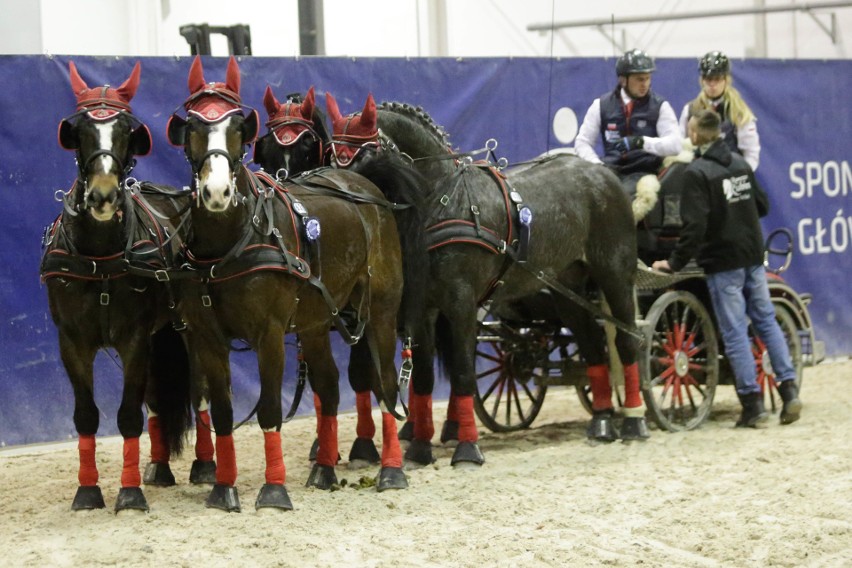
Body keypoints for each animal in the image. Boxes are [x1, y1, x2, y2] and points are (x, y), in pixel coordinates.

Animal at [40, 61, 192, 510]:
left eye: (126, 131)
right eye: (81, 131)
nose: (103, 196)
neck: (102, 255)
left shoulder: (135, 339)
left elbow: (127, 416)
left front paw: (129, 492)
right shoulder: (72, 342)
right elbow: (86, 415)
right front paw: (88, 490)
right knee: (158, 400)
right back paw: (160, 467)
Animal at [163, 56, 420, 510]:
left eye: (238, 128)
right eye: (192, 127)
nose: (217, 192)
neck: (229, 243)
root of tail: (366, 187)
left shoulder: (268, 334)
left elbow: (268, 411)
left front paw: (274, 489)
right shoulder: (206, 336)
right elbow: (224, 413)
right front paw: (223, 488)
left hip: (381, 312)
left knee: (386, 384)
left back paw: (391, 470)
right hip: (317, 323)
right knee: (330, 387)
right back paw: (325, 469)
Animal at [326, 100, 644, 468]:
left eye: (363, 152)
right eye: (333, 152)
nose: (339, 195)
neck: (442, 200)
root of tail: (602, 173)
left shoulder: (461, 303)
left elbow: (463, 371)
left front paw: (467, 449)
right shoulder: (425, 308)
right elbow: (423, 378)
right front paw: (419, 449)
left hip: (615, 273)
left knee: (626, 341)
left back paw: (634, 421)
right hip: (567, 287)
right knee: (592, 344)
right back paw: (603, 421)